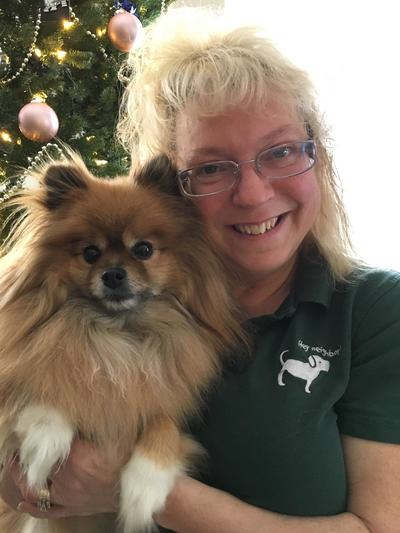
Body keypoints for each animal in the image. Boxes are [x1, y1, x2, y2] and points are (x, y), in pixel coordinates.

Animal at [0, 153, 245, 533]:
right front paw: (44, 439)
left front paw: (144, 486)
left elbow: (163, 424)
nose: (113, 273)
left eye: (143, 249)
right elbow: (46, 389)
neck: (115, 335)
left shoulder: (165, 405)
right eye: (90, 253)